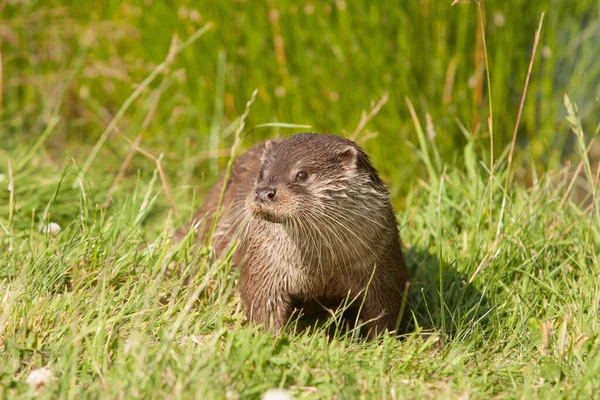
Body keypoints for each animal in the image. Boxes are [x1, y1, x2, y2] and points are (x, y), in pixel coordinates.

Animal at [188, 133, 412, 336]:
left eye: (302, 174)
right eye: (261, 174)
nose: (263, 193)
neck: (319, 265)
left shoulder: (381, 261)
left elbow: (386, 308)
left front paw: (380, 341)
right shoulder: (264, 262)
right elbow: (262, 303)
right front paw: (272, 339)